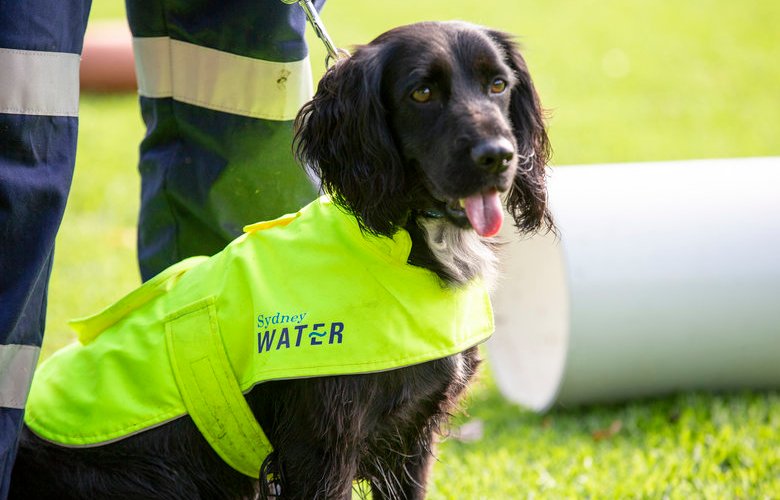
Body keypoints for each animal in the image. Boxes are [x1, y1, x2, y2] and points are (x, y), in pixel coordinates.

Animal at [9, 19, 552, 500]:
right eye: (421, 92)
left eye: (498, 84)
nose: (498, 156)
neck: (405, 245)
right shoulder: (319, 449)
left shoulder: (411, 441)